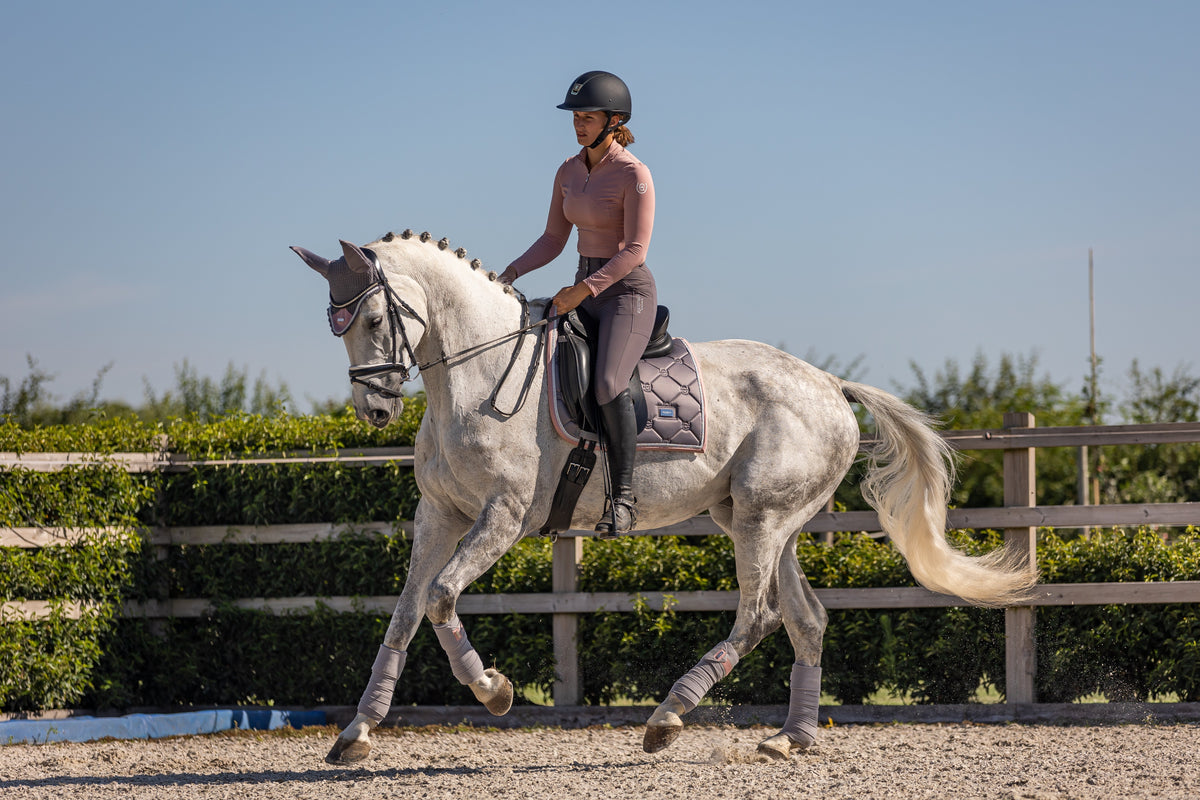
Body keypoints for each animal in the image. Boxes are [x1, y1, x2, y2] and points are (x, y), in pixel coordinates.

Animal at [291, 231, 1037, 764]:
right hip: (765, 522)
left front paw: (495, 692)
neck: (478, 376)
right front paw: (357, 732)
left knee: (758, 617)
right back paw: (789, 739)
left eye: (373, 320)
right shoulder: (439, 515)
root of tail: (829, 383)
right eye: (337, 326)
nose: (375, 409)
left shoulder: (502, 517)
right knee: (806, 619)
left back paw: (667, 717)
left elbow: (441, 598)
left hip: (762, 519)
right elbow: (405, 613)